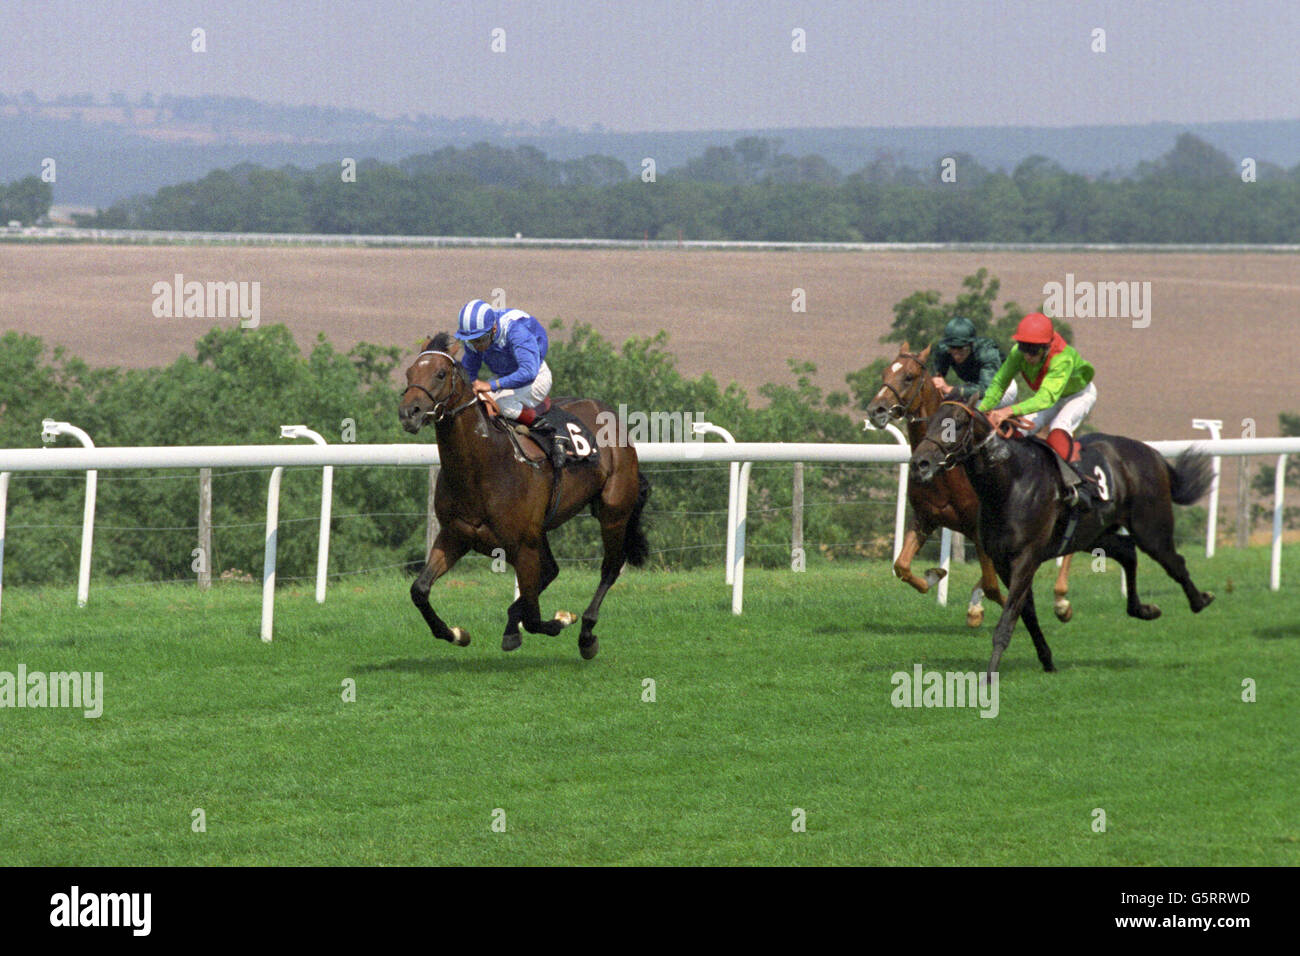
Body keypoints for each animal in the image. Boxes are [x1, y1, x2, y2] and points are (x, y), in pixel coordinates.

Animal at [395, 335, 650, 658]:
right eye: (409, 373)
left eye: (440, 374)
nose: (409, 413)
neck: (482, 466)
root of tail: (609, 414)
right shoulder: (456, 534)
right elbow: (419, 590)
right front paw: (456, 633)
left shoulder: (522, 544)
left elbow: (533, 616)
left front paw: (561, 620)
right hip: (541, 528)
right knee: (551, 571)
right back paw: (512, 628)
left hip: (613, 512)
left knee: (610, 567)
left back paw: (586, 633)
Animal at [868, 343, 1081, 629]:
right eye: (885, 373)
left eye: (909, 377)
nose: (876, 410)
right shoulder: (926, 518)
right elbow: (902, 566)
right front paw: (936, 575)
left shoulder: (980, 530)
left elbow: (993, 586)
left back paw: (1061, 601)